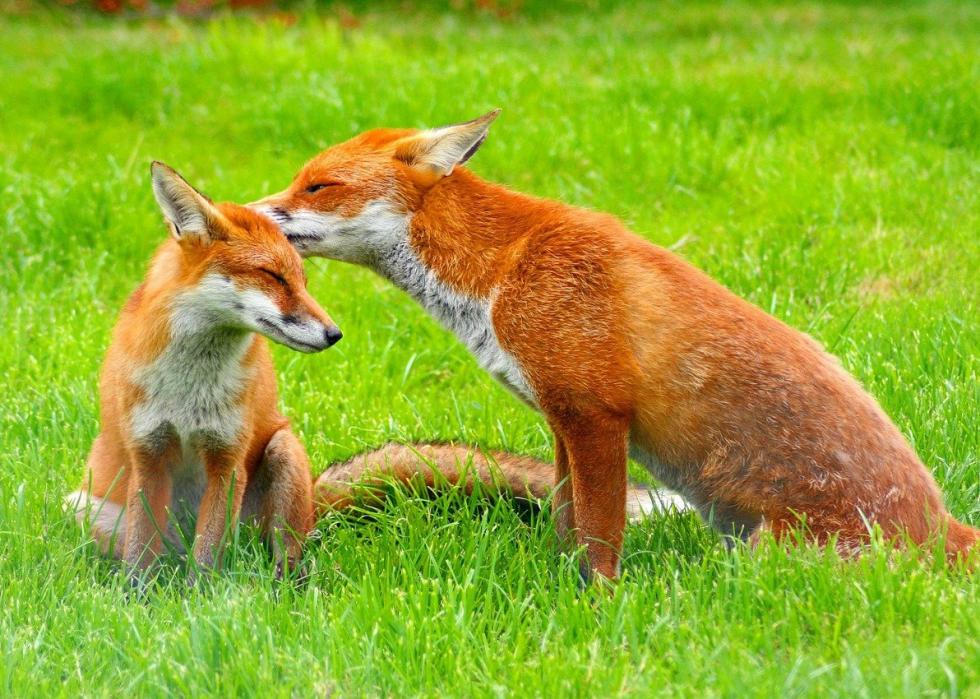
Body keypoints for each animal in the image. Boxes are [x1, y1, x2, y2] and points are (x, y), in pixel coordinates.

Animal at [67, 161, 342, 584]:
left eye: (302, 282)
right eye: (273, 276)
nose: (334, 334)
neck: (188, 389)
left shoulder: (226, 459)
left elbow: (209, 557)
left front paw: (200, 597)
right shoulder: (148, 454)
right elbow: (139, 556)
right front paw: (134, 597)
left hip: (283, 453)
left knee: (283, 558)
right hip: (81, 507)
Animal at [255, 109, 980, 580]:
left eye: (317, 185)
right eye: (298, 180)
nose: (249, 214)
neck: (501, 271)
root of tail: (946, 531)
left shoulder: (596, 414)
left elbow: (601, 534)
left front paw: (596, 604)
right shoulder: (561, 420)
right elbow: (565, 520)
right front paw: (557, 588)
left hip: (766, 557)